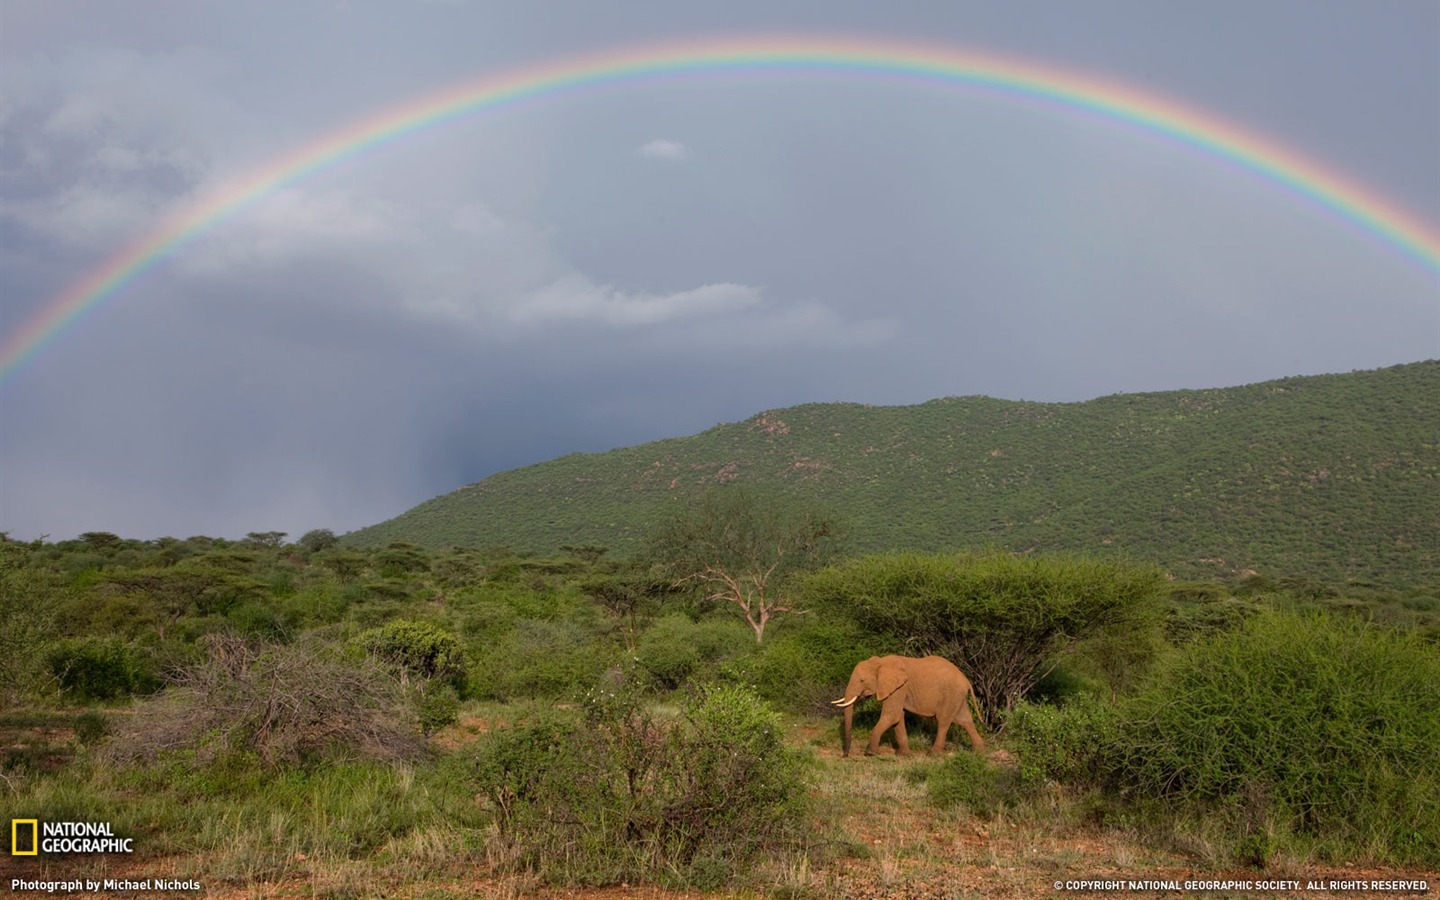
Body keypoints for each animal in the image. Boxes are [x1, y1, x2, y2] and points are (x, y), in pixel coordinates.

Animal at [829, 656, 984, 754]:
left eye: (861, 681)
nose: (845, 755)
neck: (880, 662)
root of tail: (966, 680)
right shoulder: (898, 689)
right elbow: (897, 718)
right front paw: (903, 754)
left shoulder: (899, 688)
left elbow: (891, 716)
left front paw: (870, 753)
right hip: (957, 696)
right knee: (965, 720)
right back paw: (979, 752)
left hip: (951, 694)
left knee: (943, 721)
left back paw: (933, 754)